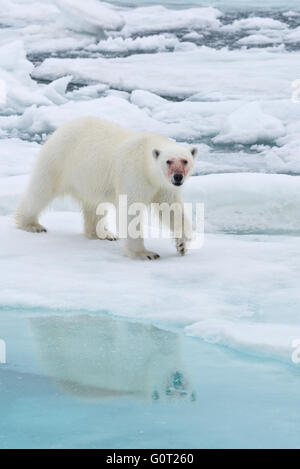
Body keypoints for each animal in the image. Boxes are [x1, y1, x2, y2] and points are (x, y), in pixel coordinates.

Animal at [16, 115, 197, 258]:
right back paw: (31, 225)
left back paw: (103, 234)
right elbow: (131, 211)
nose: (178, 177)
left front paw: (182, 244)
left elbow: (171, 209)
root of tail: (61, 128)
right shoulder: (134, 173)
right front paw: (145, 254)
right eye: (168, 161)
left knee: (94, 205)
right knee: (41, 190)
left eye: (185, 160)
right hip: (58, 160)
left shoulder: (164, 186)